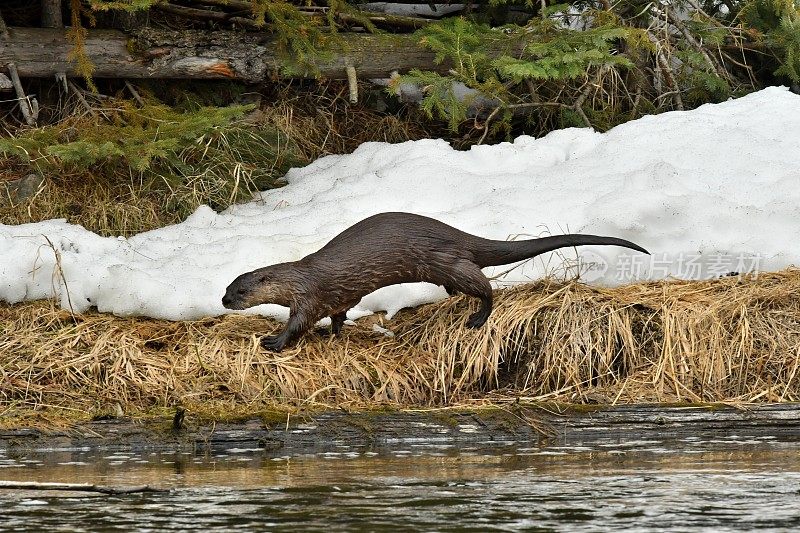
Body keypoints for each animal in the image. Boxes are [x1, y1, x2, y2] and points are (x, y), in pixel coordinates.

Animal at [222, 210, 648, 352]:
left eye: (241, 290)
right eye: (227, 287)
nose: (225, 301)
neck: (300, 277)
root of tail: (457, 234)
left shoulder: (309, 296)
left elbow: (299, 323)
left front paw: (275, 341)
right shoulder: (336, 298)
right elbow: (339, 314)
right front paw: (335, 332)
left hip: (447, 261)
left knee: (486, 287)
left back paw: (478, 317)